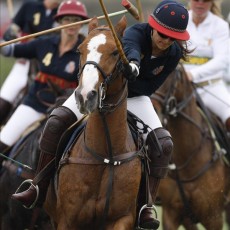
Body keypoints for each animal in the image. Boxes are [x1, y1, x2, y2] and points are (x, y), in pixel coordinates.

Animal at [44, 16, 143, 230]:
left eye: (115, 52)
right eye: (79, 50)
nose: (85, 95)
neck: (106, 155)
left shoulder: (123, 218)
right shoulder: (67, 219)